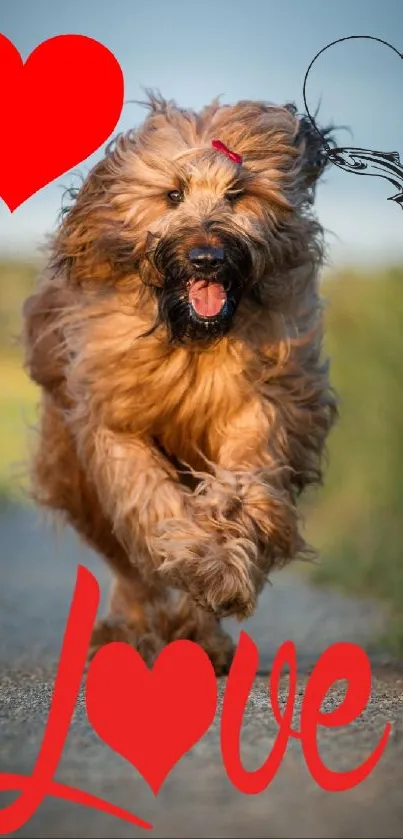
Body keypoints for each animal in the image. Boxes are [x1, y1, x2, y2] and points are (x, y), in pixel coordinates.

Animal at [22, 93, 338, 676]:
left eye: (238, 194)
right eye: (173, 194)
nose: (207, 258)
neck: (190, 340)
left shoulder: (260, 404)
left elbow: (240, 490)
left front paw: (219, 571)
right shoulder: (113, 419)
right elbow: (149, 499)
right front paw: (193, 558)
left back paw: (201, 638)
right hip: (74, 476)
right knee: (127, 562)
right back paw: (132, 629)